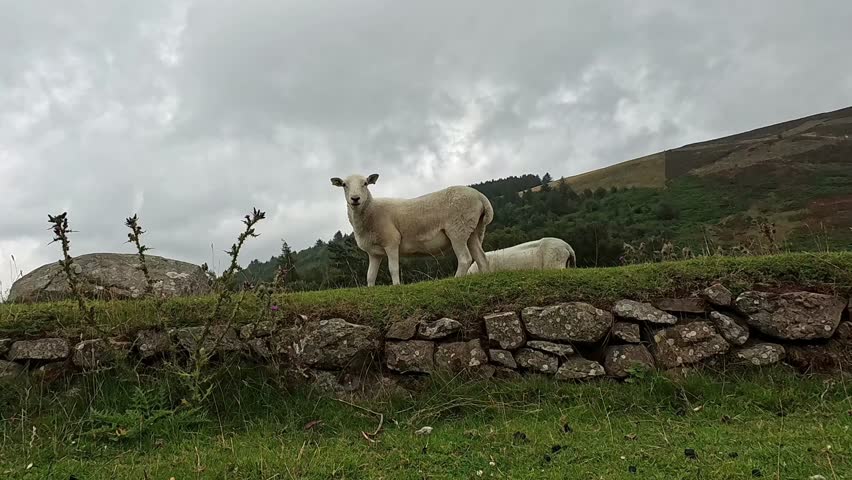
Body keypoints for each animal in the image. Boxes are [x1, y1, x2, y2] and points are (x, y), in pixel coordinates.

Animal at [330, 173, 493, 286]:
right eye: (344, 184)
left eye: (365, 183)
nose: (355, 198)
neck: (371, 211)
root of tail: (481, 197)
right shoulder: (374, 253)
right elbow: (370, 276)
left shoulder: (391, 241)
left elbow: (393, 268)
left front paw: (396, 286)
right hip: (472, 230)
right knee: (481, 258)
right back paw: (485, 276)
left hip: (457, 229)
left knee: (465, 259)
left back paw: (456, 279)